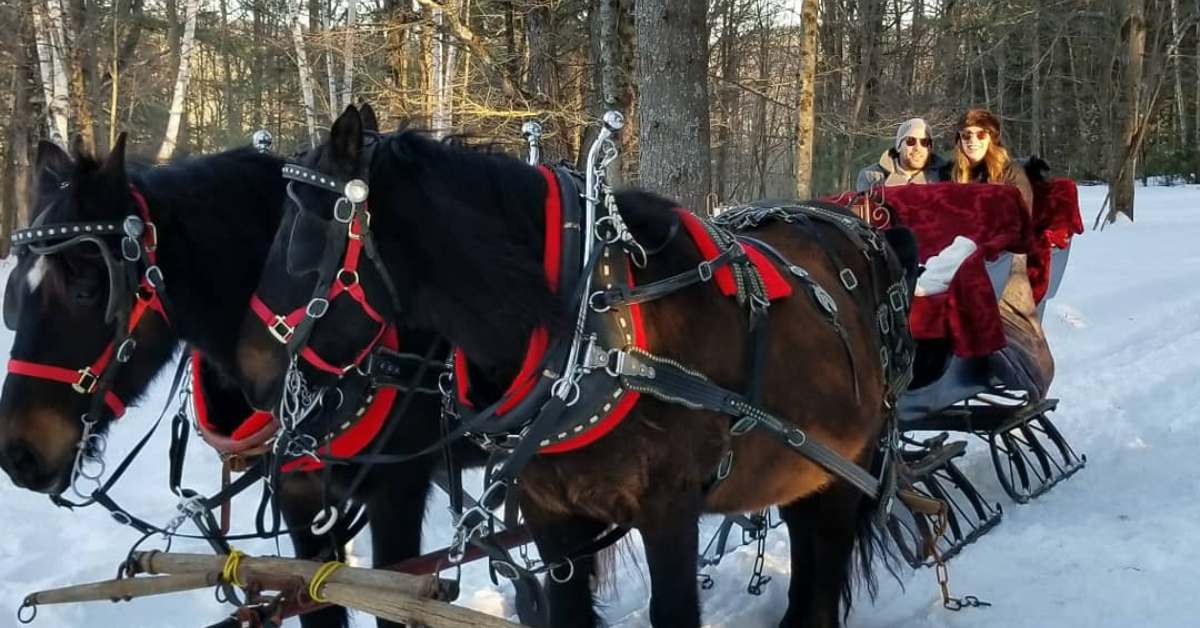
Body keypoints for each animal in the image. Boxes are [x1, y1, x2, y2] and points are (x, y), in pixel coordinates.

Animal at [231, 105, 907, 624]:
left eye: (298, 236)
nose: (249, 376)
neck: (591, 327)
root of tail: (856, 228)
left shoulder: (670, 510)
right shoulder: (551, 515)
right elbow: (567, 611)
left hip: (848, 466)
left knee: (825, 559)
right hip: (804, 468)